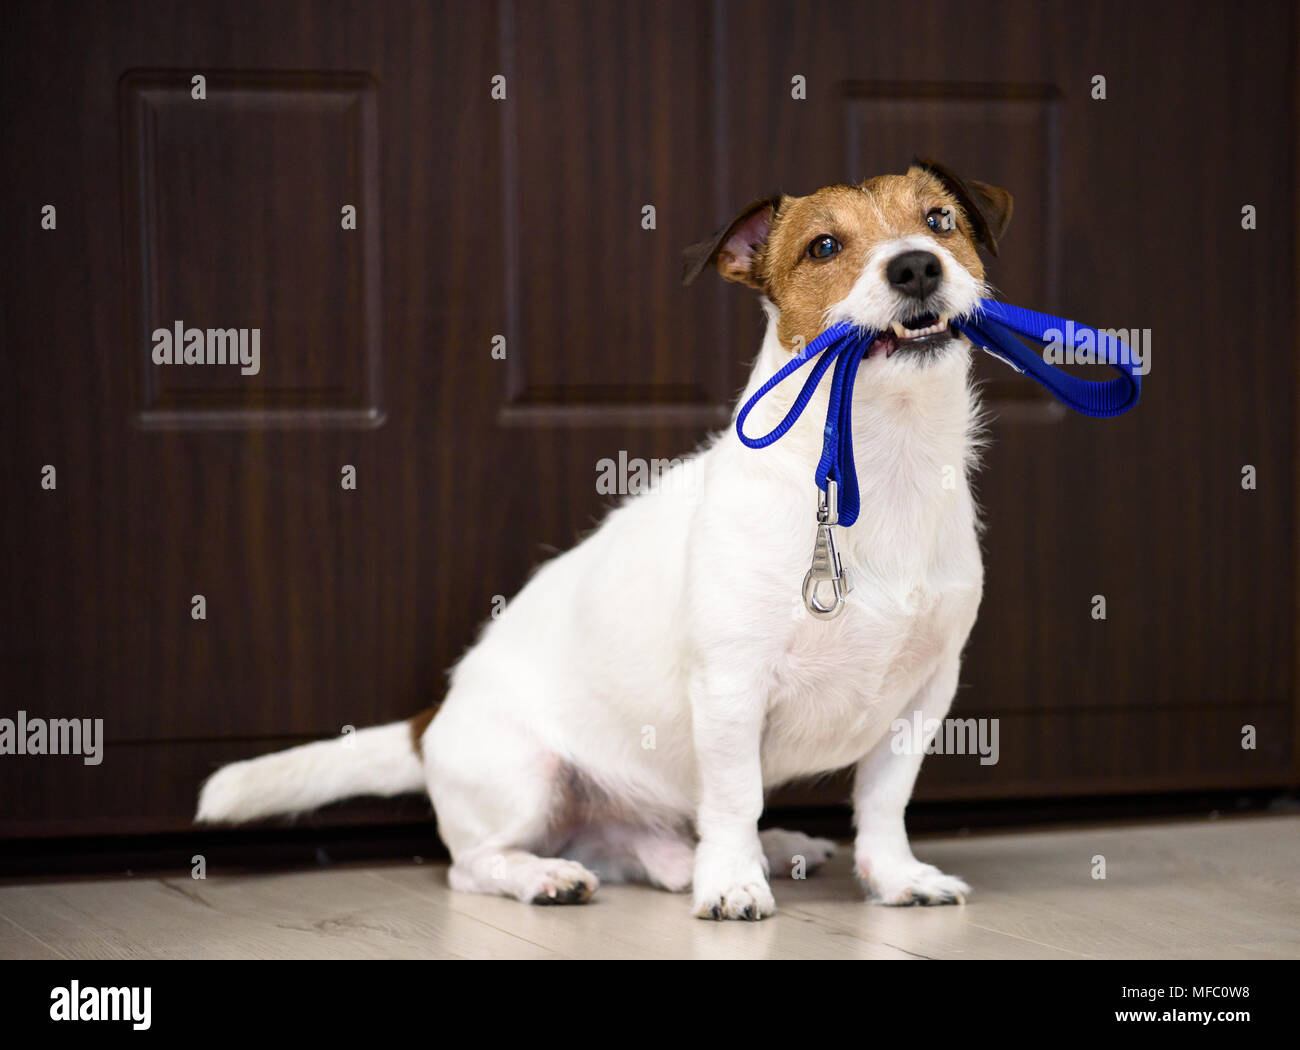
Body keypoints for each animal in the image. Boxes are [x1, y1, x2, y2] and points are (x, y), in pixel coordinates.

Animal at [197, 161, 1013, 920]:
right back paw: (554, 876)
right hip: (527, 778)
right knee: (476, 865)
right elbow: (734, 797)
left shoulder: (923, 695)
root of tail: (430, 725)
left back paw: (731, 854)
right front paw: (731, 885)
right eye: (824, 246)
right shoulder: (731, 688)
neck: (887, 465)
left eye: (939, 220)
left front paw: (894, 879)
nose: (916, 266)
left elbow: (883, 804)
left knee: (635, 845)